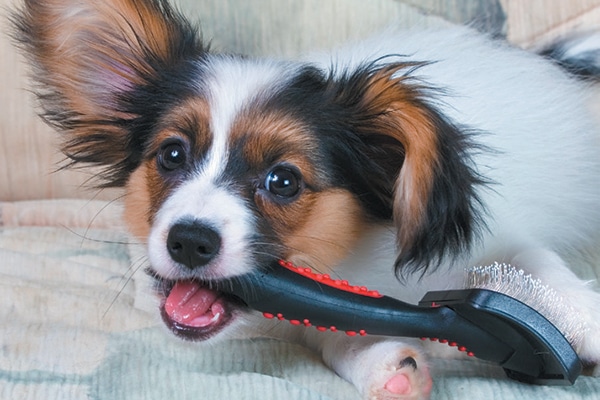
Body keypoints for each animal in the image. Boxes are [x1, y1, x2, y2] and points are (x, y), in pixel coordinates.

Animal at [11, 0, 600, 400]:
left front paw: (588, 324)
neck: (357, 260)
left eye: (284, 181)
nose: (189, 241)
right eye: (172, 155)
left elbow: (541, 269)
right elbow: (340, 333)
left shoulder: (502, 240)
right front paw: (383, 365)